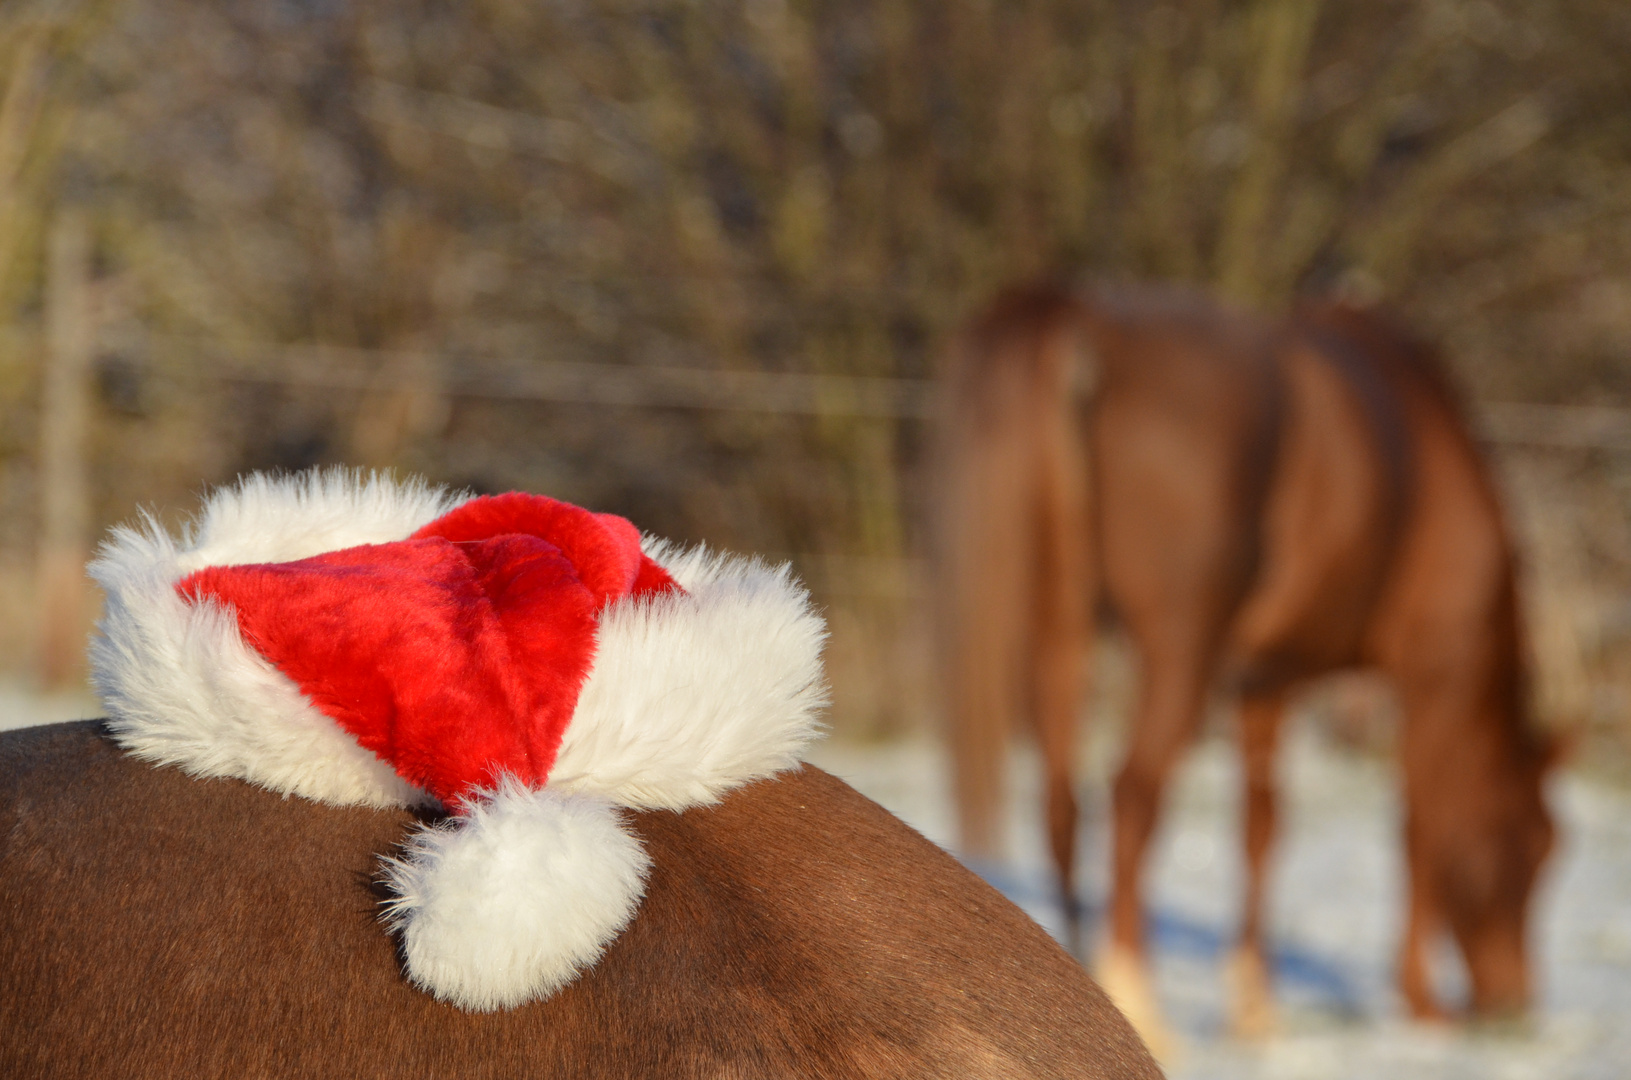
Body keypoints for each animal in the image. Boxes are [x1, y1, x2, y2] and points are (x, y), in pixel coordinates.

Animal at [932, 285, 1552, 1050]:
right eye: (1532, 850)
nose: (1512, 1003)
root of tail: (1077, 313)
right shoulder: (1431, 674)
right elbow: (1420, 828)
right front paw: (1420, 1002)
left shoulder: (1264, 679)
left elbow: (1261, 828)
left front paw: (1255, 1008)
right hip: (1178, 652)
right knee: (1132, 796)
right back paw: (1141, 1006)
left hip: (1058, 632)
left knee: (1062, 804)